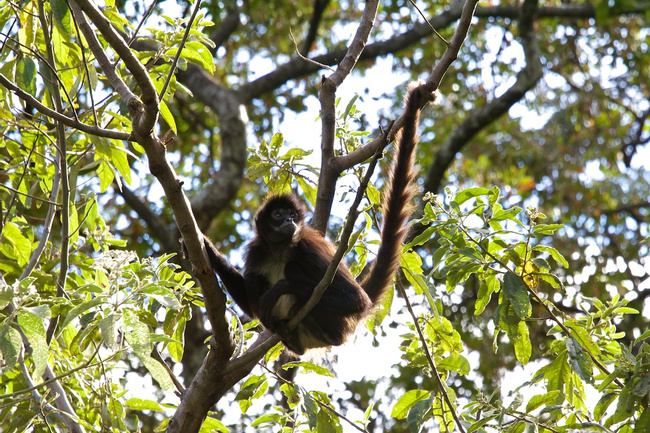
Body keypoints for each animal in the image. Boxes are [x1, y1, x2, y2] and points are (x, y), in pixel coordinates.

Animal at [185, 85, 432, 354]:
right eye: (278, 215)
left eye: (292, 215)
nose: (288, 221)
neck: (281, 249)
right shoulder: (257, 250)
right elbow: (252, 305)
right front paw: (206, 247)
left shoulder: (308, 246)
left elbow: (357, 300)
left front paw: (281, 288)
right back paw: (286, 334)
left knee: (296, 273)